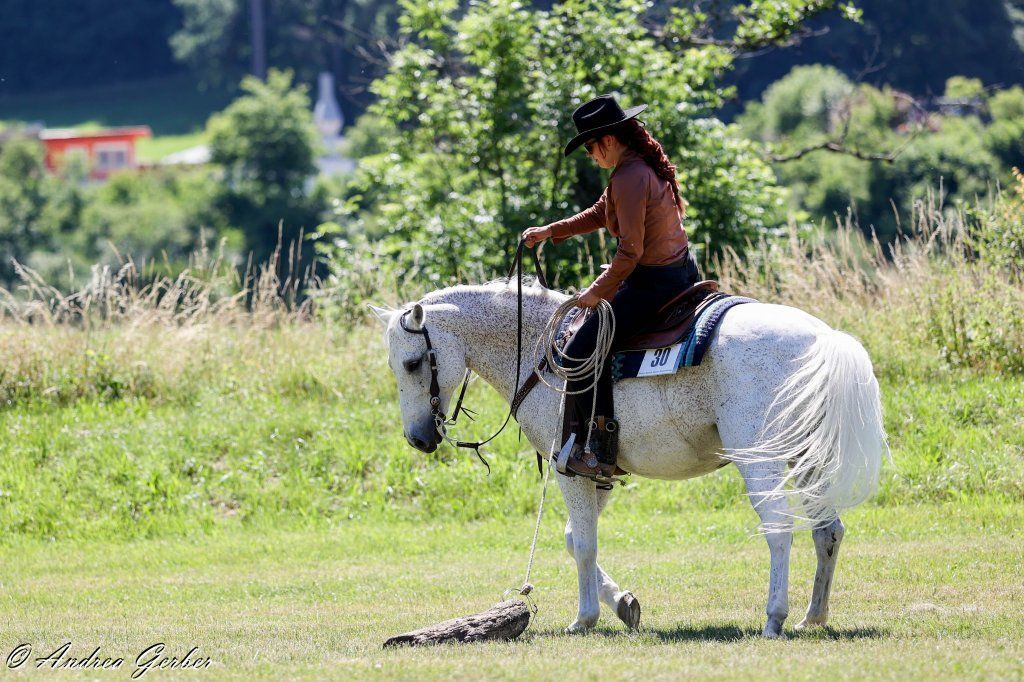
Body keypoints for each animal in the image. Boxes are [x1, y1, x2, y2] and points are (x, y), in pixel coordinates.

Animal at [371, 279, 887, 638]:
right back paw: (813, 616)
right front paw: (622, 604)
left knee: (779, 530)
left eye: (412, 363)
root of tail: (822, 338)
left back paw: (774, 619)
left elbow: (584, 545)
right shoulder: (594, 473)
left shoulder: (569, 472)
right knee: (827, 531)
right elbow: (571, 539)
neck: (541, 351)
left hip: (760, 459)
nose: (418, 438)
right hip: (807, 457)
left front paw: (584, 618)